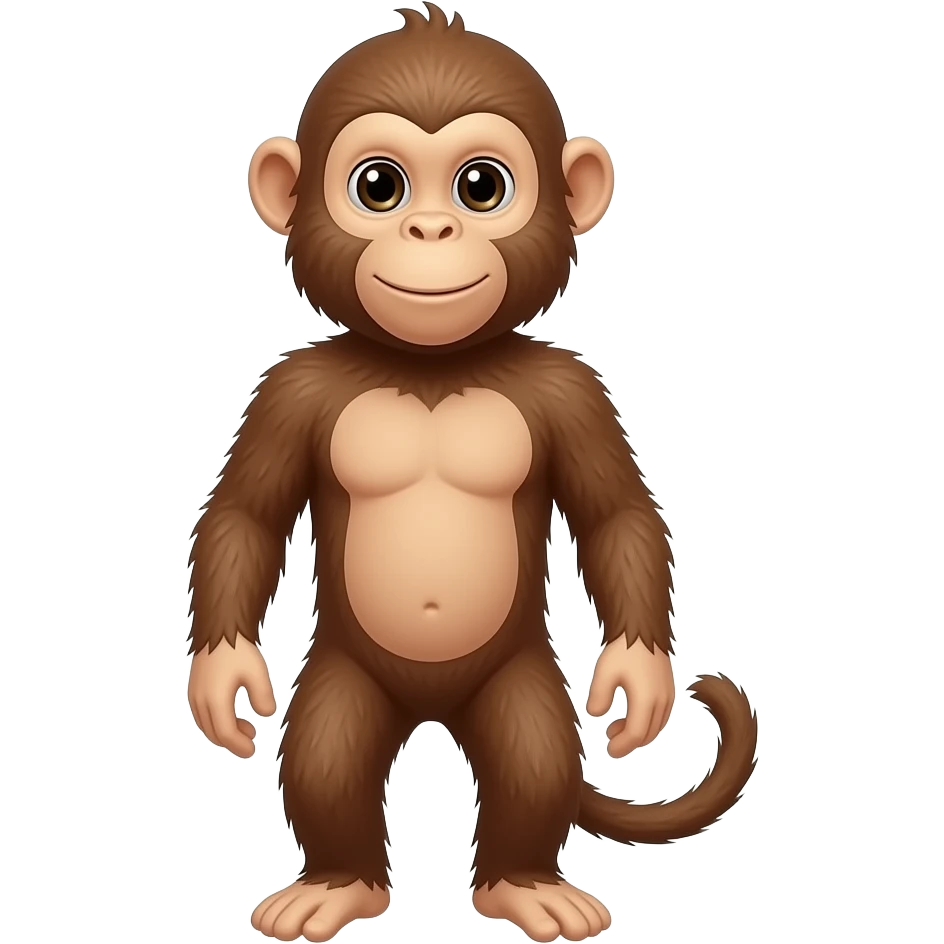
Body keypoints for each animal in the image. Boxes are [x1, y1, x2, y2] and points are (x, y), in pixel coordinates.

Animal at [185, 4, 759, 943]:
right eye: (379, 187)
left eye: (480, 187)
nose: (431, 231)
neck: (432, 368)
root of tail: (432, 705)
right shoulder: (287, 390)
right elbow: (246, 515)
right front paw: (224, 674)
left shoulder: (574, 390)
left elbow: (617, 515)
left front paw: (636, 678)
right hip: (346, 671)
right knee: (327, 753)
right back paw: (337, 883)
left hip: (518, 675)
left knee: (534, 756)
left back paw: (524, 884)